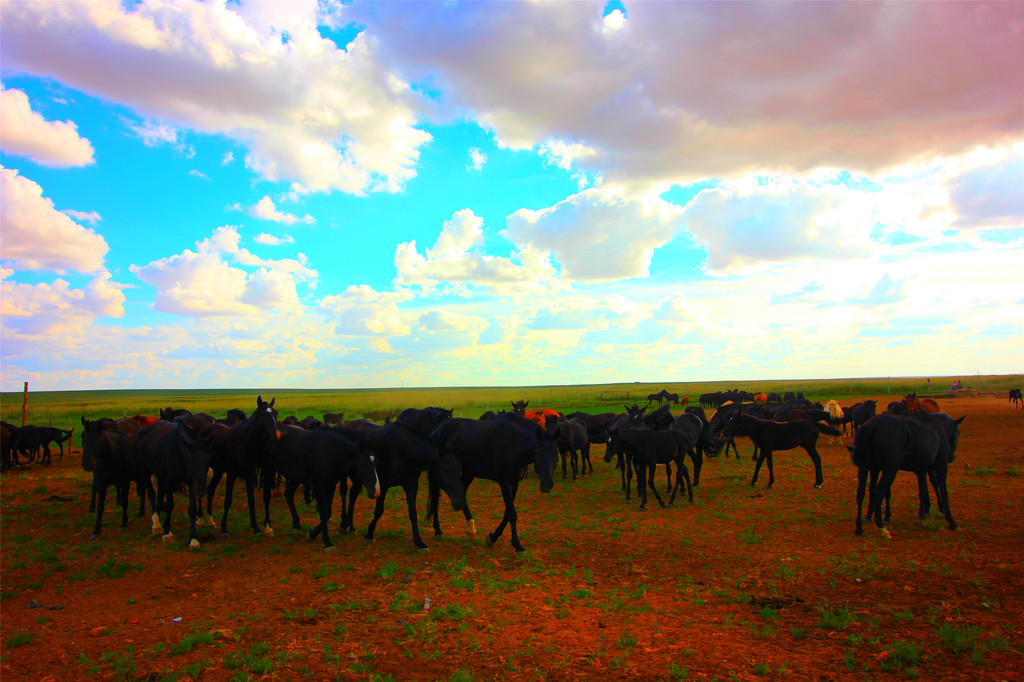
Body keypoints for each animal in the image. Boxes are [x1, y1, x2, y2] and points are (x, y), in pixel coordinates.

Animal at [430, 409, 565, 552]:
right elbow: (511, 513)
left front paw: (493, 537)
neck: (514, 443)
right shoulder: (504, 482)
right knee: (436, 497)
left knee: (461, 496)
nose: (546, 484)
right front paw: (517, 545)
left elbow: (508, 512)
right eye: (537, 452)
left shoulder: (514, 483)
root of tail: (437, 431)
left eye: (555, 454)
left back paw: (471, 528)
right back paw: (438, 530)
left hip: (468, 472)